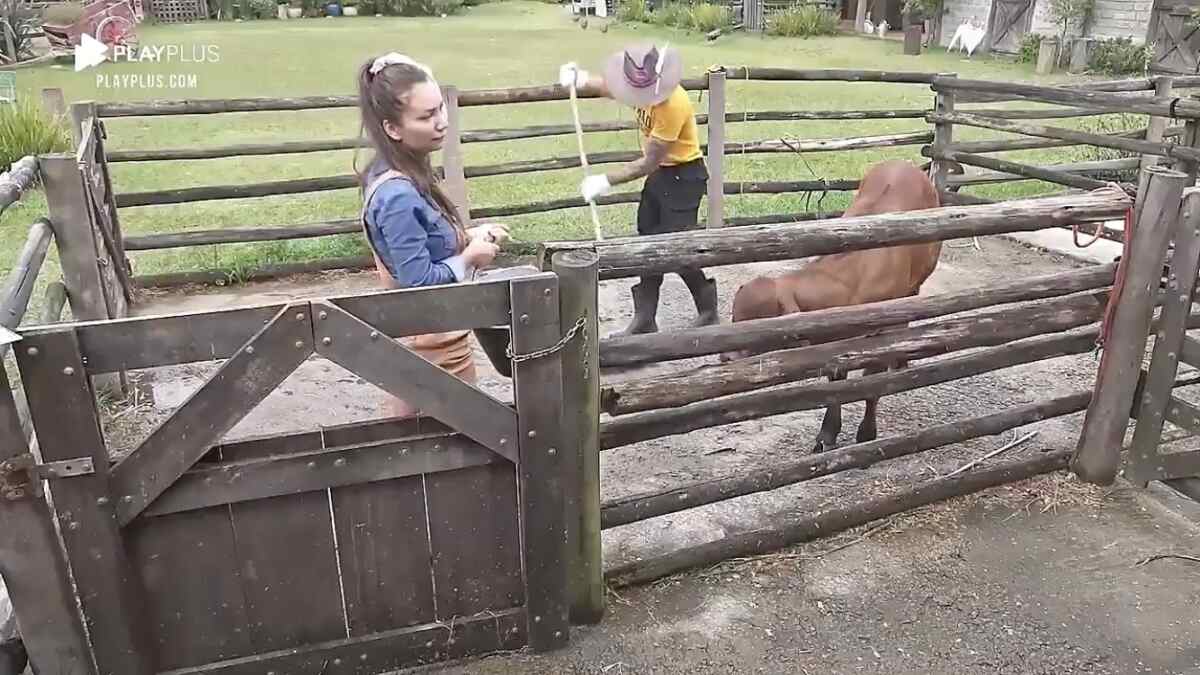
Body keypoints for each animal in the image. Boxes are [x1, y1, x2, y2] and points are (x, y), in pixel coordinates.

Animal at [729, 158, 945, 451]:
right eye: (734, 316)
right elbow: (836, 382)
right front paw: (826, 435)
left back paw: (902, 360)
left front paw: (866, 433)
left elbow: (871, 384)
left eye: (759, 319)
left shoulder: (882, 334)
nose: (726, 357)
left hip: (919, 280)